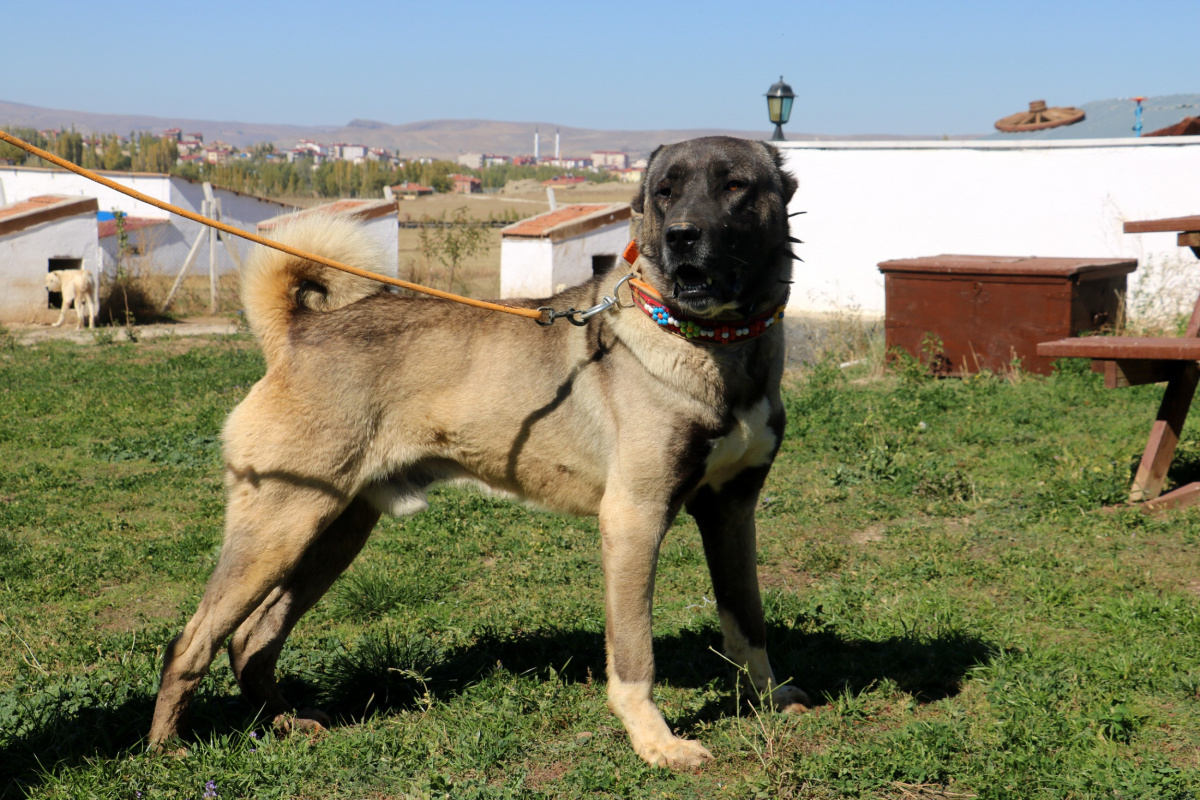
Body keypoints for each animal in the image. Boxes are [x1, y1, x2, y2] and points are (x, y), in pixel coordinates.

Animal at [150, 137, 806, 767]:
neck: (719, 345)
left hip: (331, 533)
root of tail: (297, 332)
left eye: (735, 186)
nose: (681, 237)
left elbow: (748, 620)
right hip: (278, 531)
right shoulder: (634, 519)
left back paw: (284, 722)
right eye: (664, 192)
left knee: (251, 640)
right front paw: (656, 743)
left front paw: (770, 697)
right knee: (192, 642)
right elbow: (634, 658)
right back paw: (164, 751)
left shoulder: (731, 512)